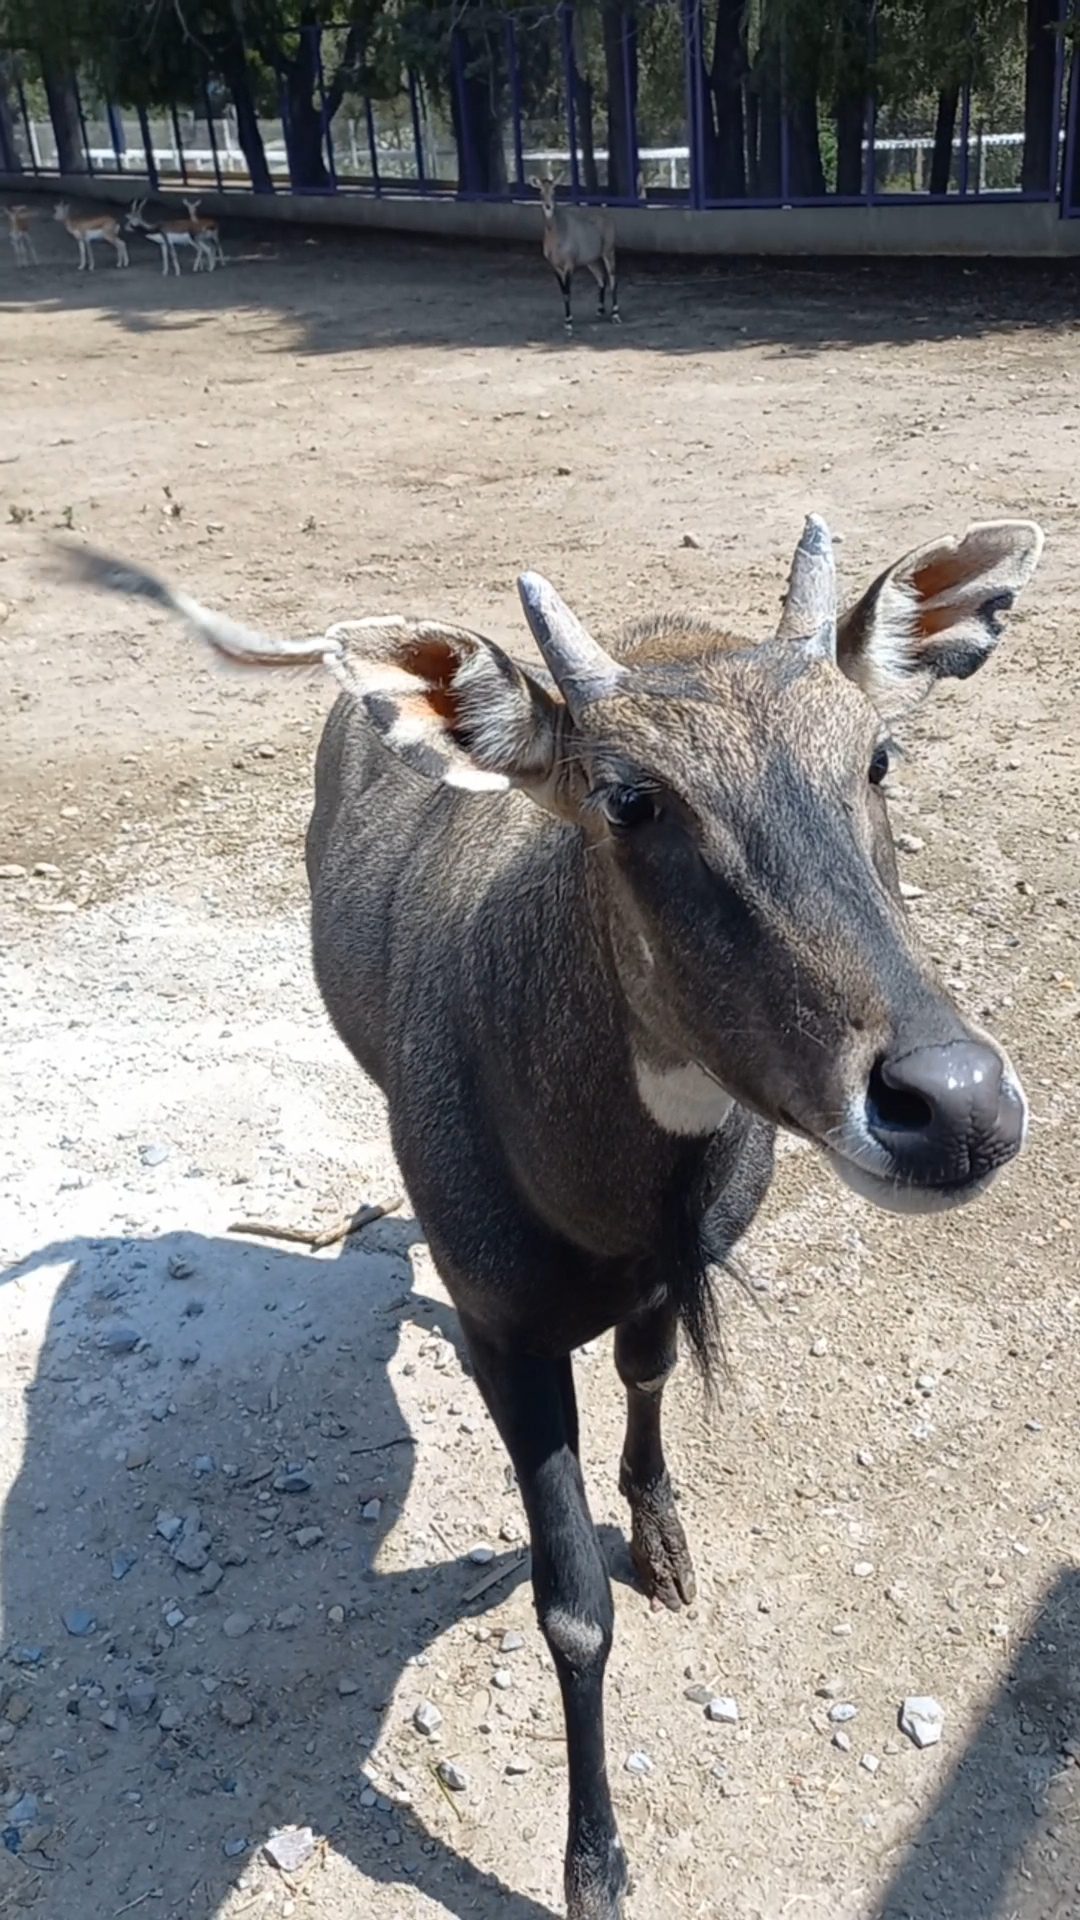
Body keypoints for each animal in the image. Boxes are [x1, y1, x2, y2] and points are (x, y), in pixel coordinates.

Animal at [62, 513, 1043, 1919]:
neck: (612, 1193)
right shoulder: (507, 1334)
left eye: (876, 753)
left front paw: (666, 1538)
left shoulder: (663, 1279)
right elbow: (572, 1607)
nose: (953, 1105)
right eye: (630, 797)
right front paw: (595, 1869)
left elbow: (646, 1376)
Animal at [532, 172, 618, 333]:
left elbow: (567, 292)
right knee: (601, 278)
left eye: (554, 191)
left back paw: (615, 314)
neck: (557, 233)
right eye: (540, 191)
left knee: (612, 279)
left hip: (608, 251)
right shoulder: (554, 266)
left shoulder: (569, 265)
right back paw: (600, 310)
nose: (548, 206)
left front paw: (569, 322)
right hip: (591, 260)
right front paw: (567, 320)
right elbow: (563, 292)